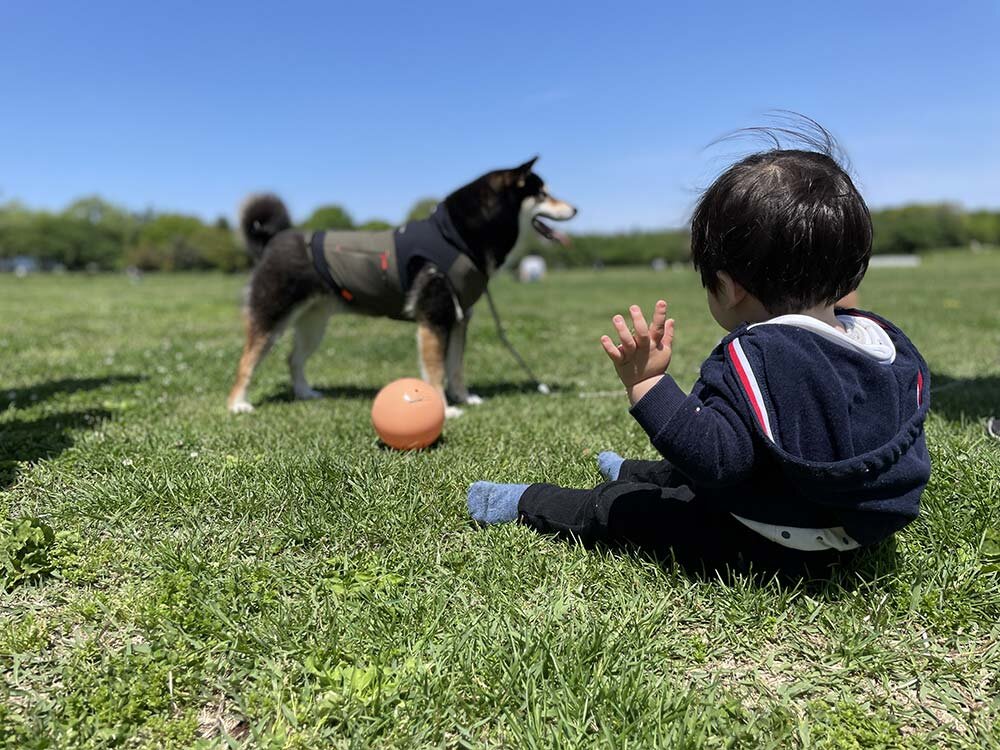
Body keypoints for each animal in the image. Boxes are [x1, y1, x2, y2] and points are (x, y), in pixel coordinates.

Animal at [224, 158, 576, 418]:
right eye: (543, 194)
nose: (575, 209)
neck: (456, 237)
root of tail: (274, 239)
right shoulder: (434, 318)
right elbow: (436, 371)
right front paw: (445, 408)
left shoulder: (459, 318)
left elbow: (456, 367)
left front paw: (464, 397)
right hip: (272, 316)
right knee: (246, 362)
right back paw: (237, 404)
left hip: (314, 324)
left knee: (293, 359)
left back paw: (304, 393)